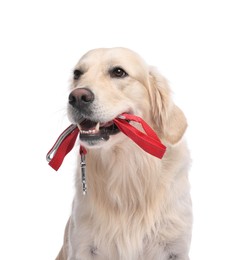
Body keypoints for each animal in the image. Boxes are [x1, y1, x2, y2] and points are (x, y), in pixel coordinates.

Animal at [56, 47, 193, 258]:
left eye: (118, 72)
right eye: (77, 74)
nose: (77, 97)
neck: (126, 165)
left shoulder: (174, 247)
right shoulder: (82, 244)